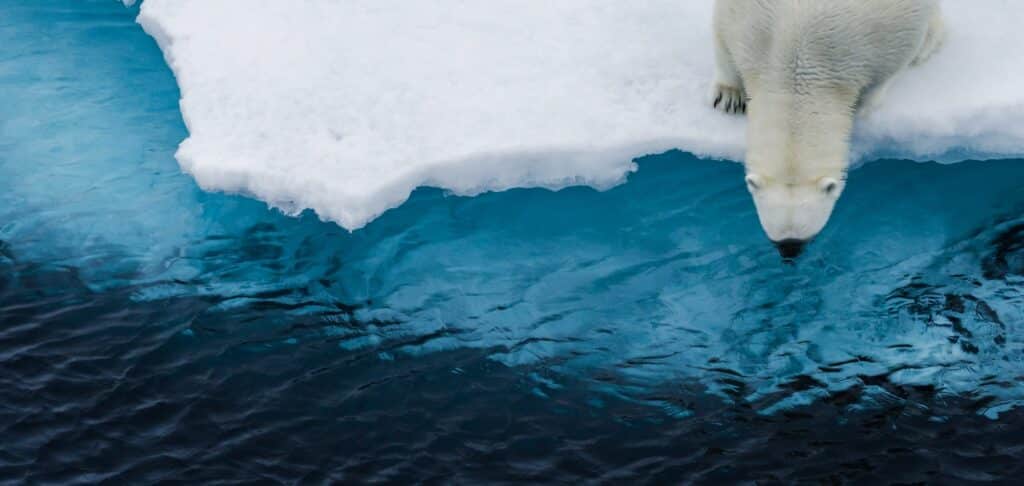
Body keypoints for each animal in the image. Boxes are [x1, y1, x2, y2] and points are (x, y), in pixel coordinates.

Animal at [710, 0, 945, 259]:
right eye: (776, 237)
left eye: (804, 237)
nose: (789, 254)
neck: (797, 47)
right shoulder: (747, 22)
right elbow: (723, 43)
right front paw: (729, 97)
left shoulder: (890, 34)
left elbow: (890, 70)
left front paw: (863, 106)